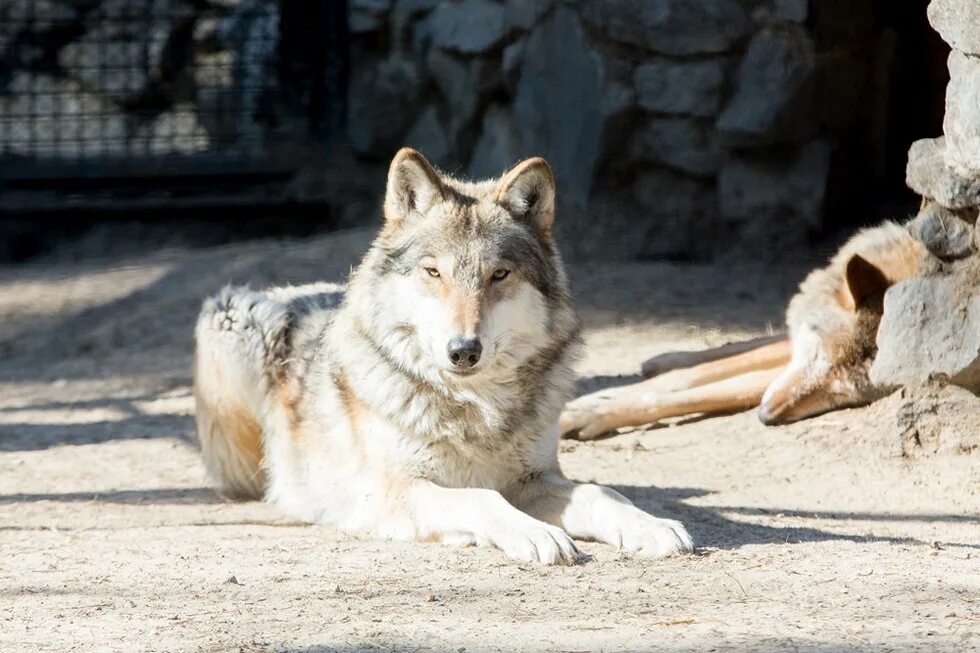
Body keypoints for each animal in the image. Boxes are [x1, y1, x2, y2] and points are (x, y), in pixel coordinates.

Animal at [195, 146, 692, 560]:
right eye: (434, 272)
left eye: (499, 274)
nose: (463, 351)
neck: (475, 409)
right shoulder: (398, 491)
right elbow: (481, 497)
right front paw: (537, 533)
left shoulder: (534, 478)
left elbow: (600, 492)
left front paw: (653, 526)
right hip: (235, 322)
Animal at [560, 219, 936, 438]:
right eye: (817, 355)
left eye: (842, 394)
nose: (767, 416)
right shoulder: (794, 358)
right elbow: (689, 377)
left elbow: (702, 392)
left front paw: (590, 412)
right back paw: (666, 357)